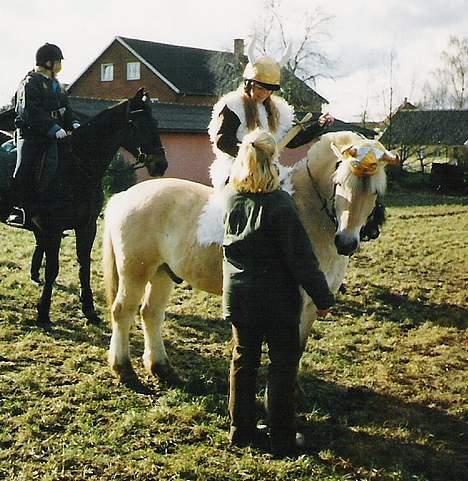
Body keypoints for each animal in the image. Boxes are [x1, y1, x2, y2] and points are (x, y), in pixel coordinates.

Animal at [103, 131, 398, 382]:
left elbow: (300, 348)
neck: (307, 213)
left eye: (375, 191)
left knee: (151, 313)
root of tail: (123, 196)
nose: (346, 242)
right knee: (123, 312)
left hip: (162, 272)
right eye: (339, 183)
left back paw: (162, 368)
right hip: (135, 273)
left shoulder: (312, 305)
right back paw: (124, 369)